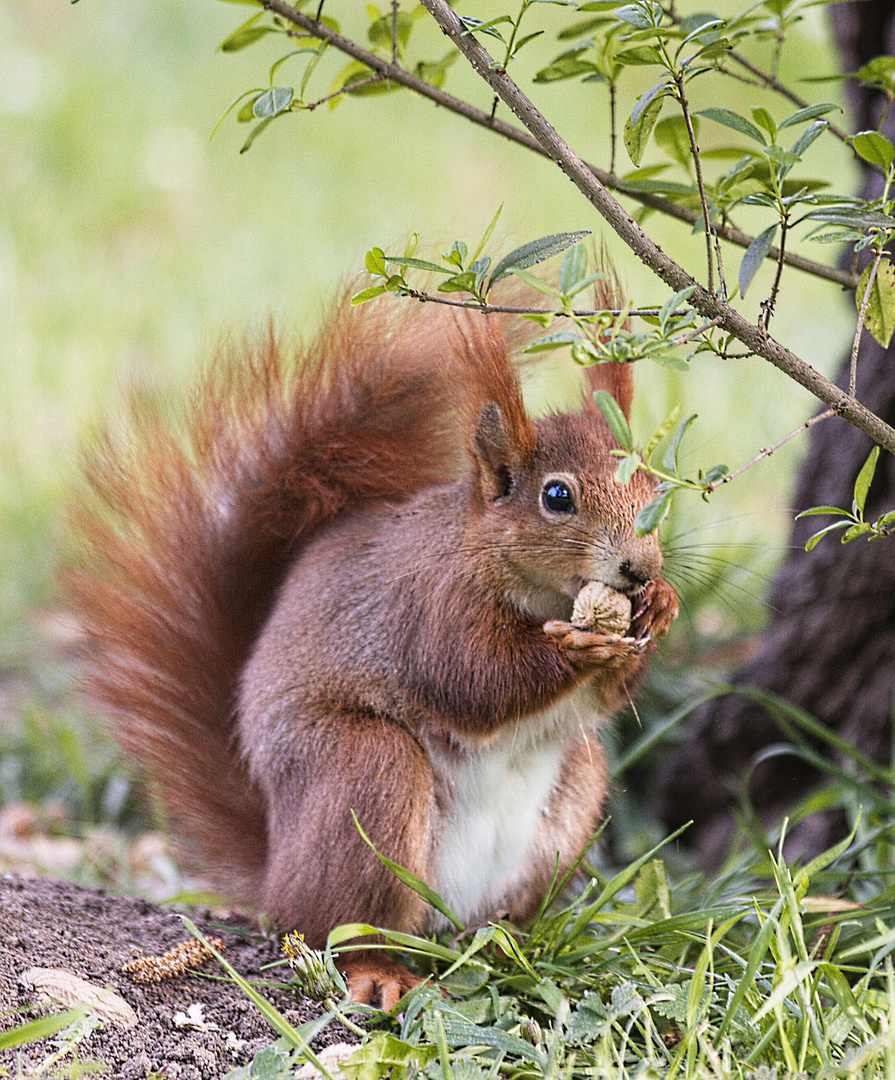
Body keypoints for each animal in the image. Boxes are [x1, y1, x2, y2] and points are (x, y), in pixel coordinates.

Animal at [64, 285, 677, 1002]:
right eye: (557, 496)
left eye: (655, 487)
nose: (639, 568)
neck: (543, 594)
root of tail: (276, 872)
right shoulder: (430, 606)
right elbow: (473, 680)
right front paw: (573, 649)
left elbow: (604, 697)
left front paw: (661, 606)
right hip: (364, 771)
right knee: (335, 926)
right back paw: (380, 969)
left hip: (572, 796)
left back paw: (508, 948)